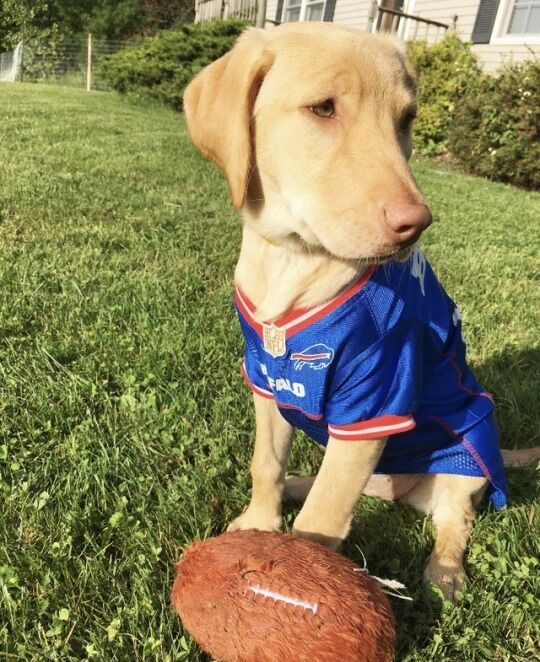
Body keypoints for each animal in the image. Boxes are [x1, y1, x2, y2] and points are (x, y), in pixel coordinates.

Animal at [185, 22, 536, 600]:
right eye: (323, 108)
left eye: (406, 120)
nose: (416, 225)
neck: (296, 260)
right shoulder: (266, 381)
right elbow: (266, 465)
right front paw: (260, 523)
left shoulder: (374, 403)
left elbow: (322, 521)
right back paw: (299, 484)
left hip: (468, 454)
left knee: (454, 519)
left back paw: (445, 573)